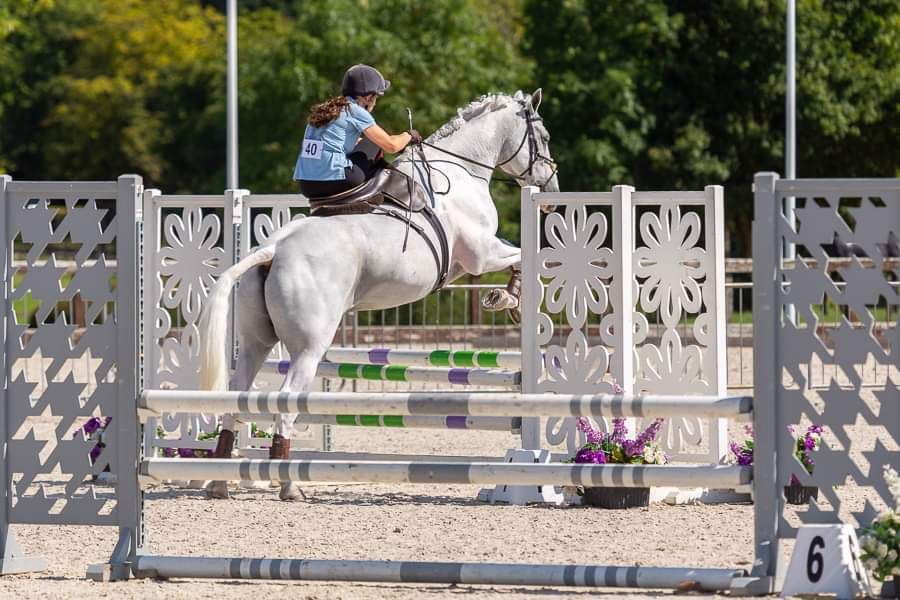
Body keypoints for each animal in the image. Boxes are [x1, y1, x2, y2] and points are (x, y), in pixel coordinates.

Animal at [200, 89, 560, 500]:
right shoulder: (481, 254)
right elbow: (520, 258)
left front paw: (506, 298)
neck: (459, 170)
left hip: (255, 342)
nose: (551, 193)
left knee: (237, 397)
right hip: (308, 348)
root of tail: (274, 248)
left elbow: (518, 258)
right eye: (544, 136)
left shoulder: (471, 260)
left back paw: (219, 481)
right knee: (286, 404)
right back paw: (289, 485)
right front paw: (508, 298)